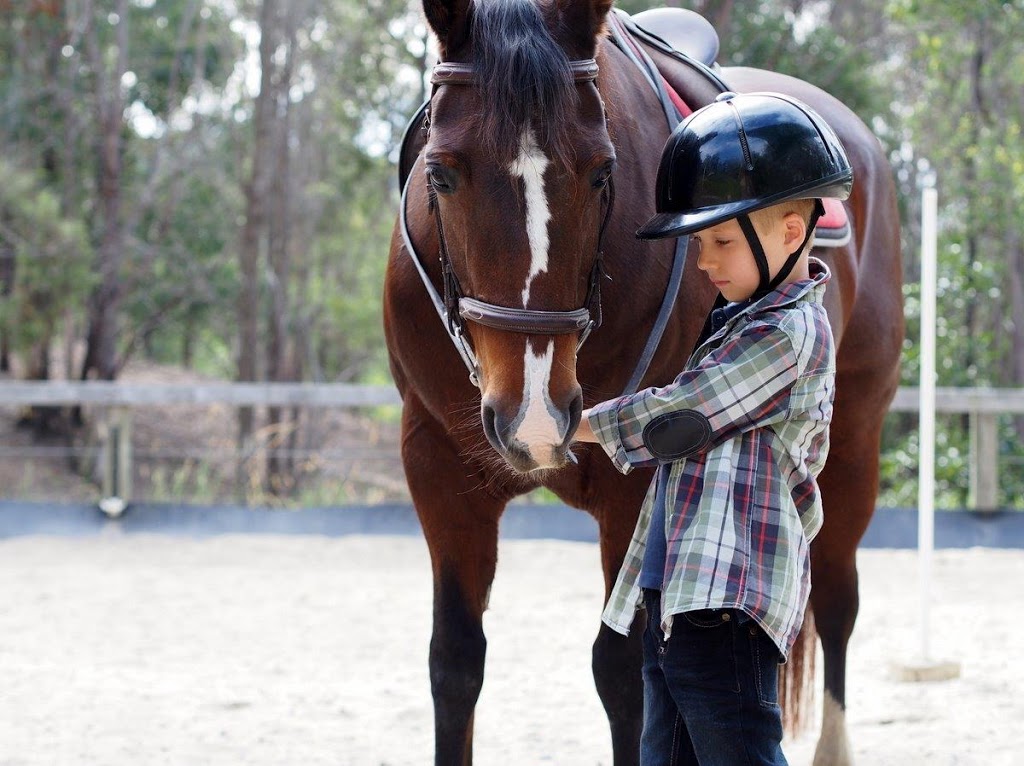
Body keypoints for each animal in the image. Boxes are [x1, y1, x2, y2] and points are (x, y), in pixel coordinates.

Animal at [385, 2, 905, 761]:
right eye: (444, 174)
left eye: (603, 173)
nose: (534, 417)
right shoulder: (438, 468)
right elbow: (454, 664)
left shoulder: (635, 487)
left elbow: (623, 676)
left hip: (858, 441)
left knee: (837, 603)